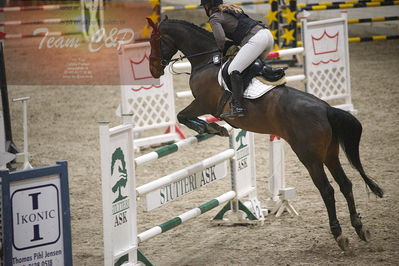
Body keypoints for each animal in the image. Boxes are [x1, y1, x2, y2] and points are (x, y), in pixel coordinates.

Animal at [145, 17, 382, 251]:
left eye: (154, 41)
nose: (154, 70)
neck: (207, 60)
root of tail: (326, 109)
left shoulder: (203, 103)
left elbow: (182, 115)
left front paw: (211, 128)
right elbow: (183, 116)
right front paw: (213, 128)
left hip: (310, 157)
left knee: (327, 190)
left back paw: (339, 235)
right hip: (329, 153)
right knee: (345, 184)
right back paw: (359, 227)